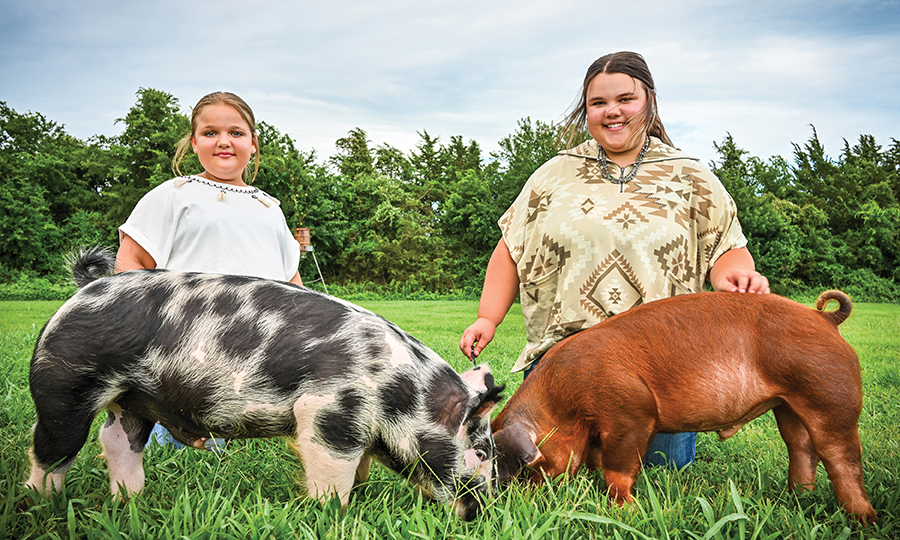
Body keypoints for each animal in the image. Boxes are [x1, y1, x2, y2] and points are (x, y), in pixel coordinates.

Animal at [26, 249, 506, 520]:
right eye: (481, 453)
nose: (480, 514)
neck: (401, 393)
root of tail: (88, 287)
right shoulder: (327, 413)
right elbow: (333, 477)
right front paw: (332, 515)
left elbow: (360, 472)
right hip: (63, 380)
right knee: (52, 448)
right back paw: (38, 504)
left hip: (135, 399)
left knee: (116, 440)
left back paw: (131, 500)